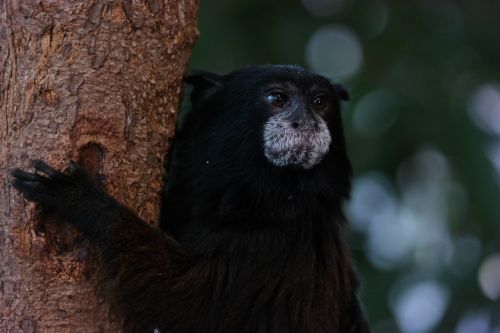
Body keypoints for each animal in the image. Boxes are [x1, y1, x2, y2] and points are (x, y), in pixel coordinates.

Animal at [10, 65, 372, 332]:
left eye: (320, 102)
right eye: (278, 98)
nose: (307, 122)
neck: (259, 201)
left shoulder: (278, 244)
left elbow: (182, 306)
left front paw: (82, 202)